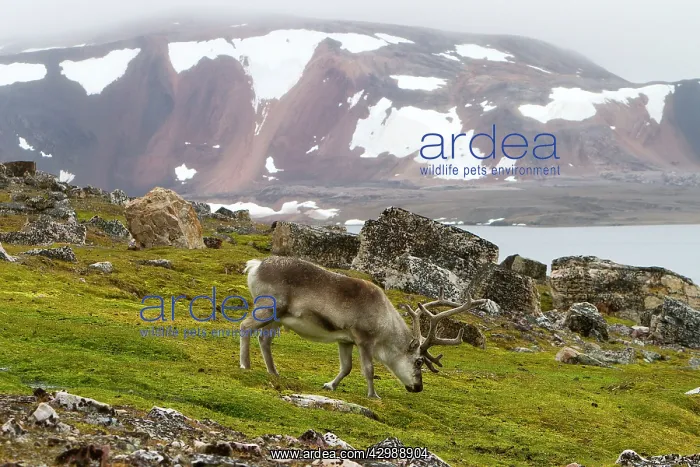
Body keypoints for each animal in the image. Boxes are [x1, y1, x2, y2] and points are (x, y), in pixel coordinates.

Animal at [239, 256, 486, 398]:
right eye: (418, 361)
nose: (418, 387)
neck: (385, 322)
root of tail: (255, 265)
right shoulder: (364, 339)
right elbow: (369, 370)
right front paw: (373, 395)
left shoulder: (345, 340)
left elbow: (346, 368)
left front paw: (330, 385)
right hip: (266, 308)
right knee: (245, 326)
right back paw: (245, 365)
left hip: (278, 318)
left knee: (264, 339)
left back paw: (274, 372)